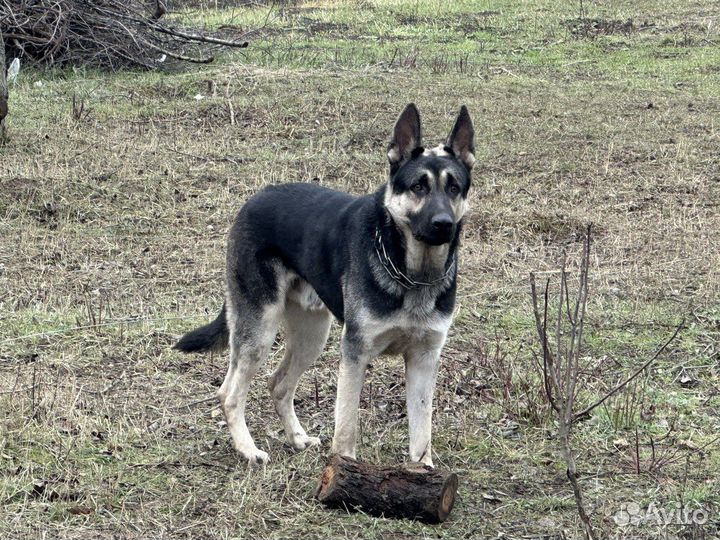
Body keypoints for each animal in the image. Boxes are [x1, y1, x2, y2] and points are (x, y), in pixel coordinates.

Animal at [175, 103, 476, 466]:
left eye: (454, 188)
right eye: (419, 186)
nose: (443, 224)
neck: (412, 275)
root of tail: (256, 198)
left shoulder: (424, 358)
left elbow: (422, 432)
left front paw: (423, 471)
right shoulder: (355, 353)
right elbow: (346, 425)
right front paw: (344, 470)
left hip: (313, 335)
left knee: (278, 384)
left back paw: (296, 438)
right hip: (260, 330)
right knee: (229, 393)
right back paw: (248, 449)